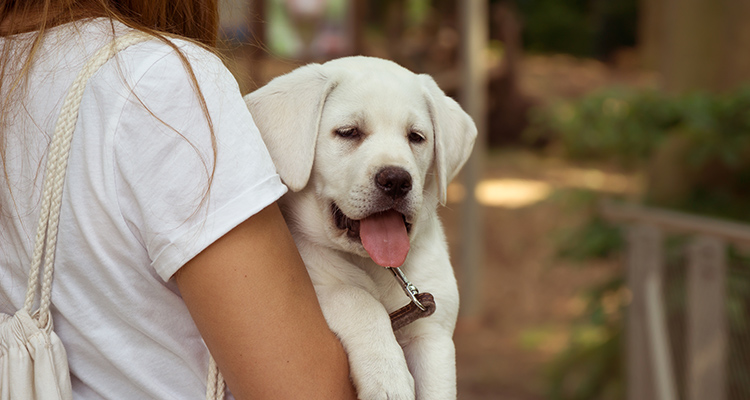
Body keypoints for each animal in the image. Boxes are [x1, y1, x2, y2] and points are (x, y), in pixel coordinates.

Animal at [244, 57, 476, 400]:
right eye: (348, 132)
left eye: (416, 137)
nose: (397, 179)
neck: (372, 266)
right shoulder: (309, 291)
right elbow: (356, 297)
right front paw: (388, 378)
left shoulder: (433, 335)